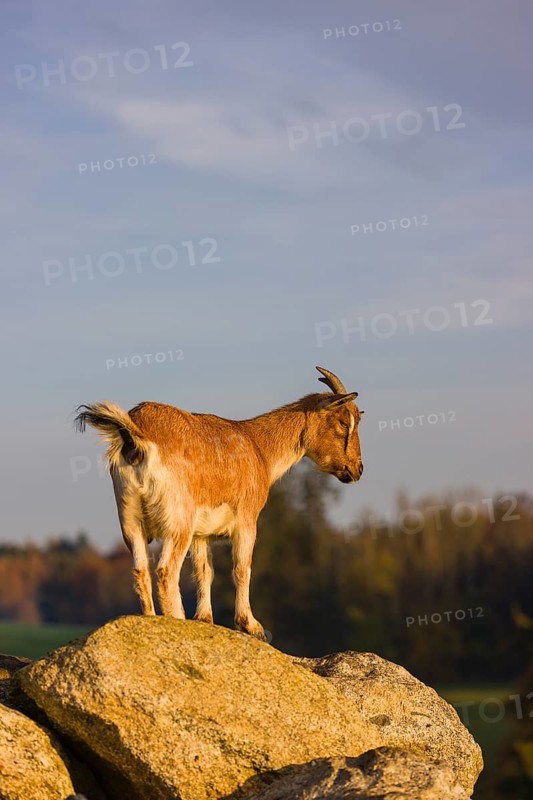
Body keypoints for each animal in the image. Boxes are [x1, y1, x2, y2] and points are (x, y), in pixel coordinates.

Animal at [75, 367, 364, 639]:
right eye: (343, 422)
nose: (357, 469)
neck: (258, 449)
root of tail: (136, 435)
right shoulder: (246, 520)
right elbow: (242, 568)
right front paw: (252, 626)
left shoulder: (201, 534)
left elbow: (204, 571)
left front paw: (205, 619)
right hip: (178, 520)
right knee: (166, 570)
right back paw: (176, 621)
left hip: (129, 516)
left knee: (140, 569)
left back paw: (151, 619)